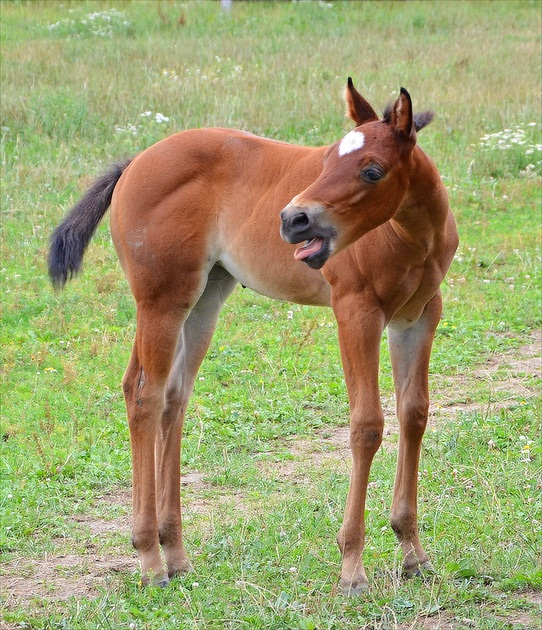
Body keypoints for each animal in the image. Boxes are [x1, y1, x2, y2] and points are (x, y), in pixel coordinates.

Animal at [50, 80, 460, 596]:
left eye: (372, 170)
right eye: (327, 160)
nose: (292, 219)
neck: (411, 237)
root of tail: (135, 162)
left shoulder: (418, 317)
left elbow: (414, 414)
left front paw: (412, 553)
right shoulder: (356, 312)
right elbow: (366, 425)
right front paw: (352, 567)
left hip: (205, 298)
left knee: (171, 397)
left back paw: (175, 552)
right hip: (162, 300)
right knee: (144, 395)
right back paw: (150, 559)